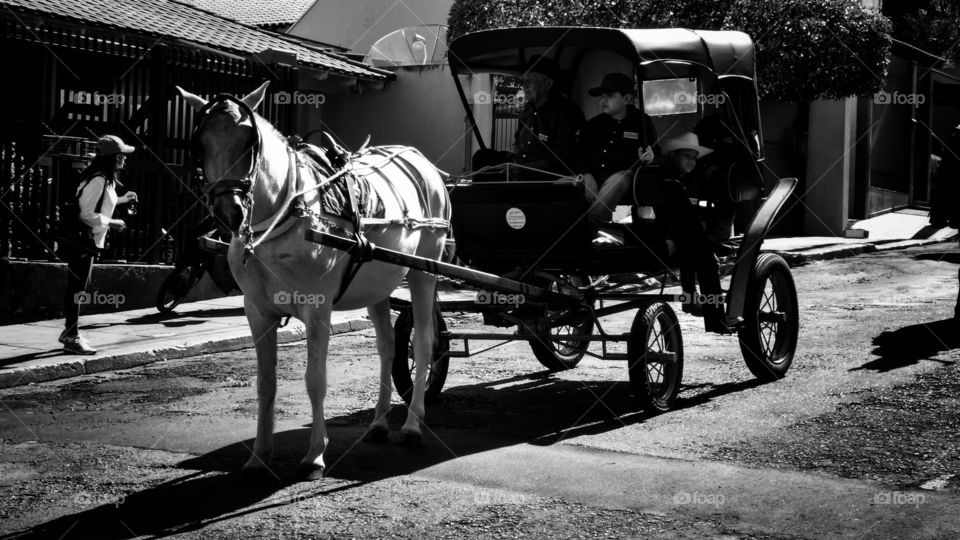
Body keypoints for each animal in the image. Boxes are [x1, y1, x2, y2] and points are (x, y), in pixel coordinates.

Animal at [176, 82, 451, 480]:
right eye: (199, 143)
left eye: (249, 141)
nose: (231, 212)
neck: (282, 218)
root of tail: (419, 159)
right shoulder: (257, 312)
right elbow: (266, 383)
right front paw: (259, 455)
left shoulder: (318, 310)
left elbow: (315, 381)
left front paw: (314, 456)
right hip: (377, 282)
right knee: (387, 348)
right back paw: (379, 423)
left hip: (423, 271)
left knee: (427, 343)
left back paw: (413, 425)